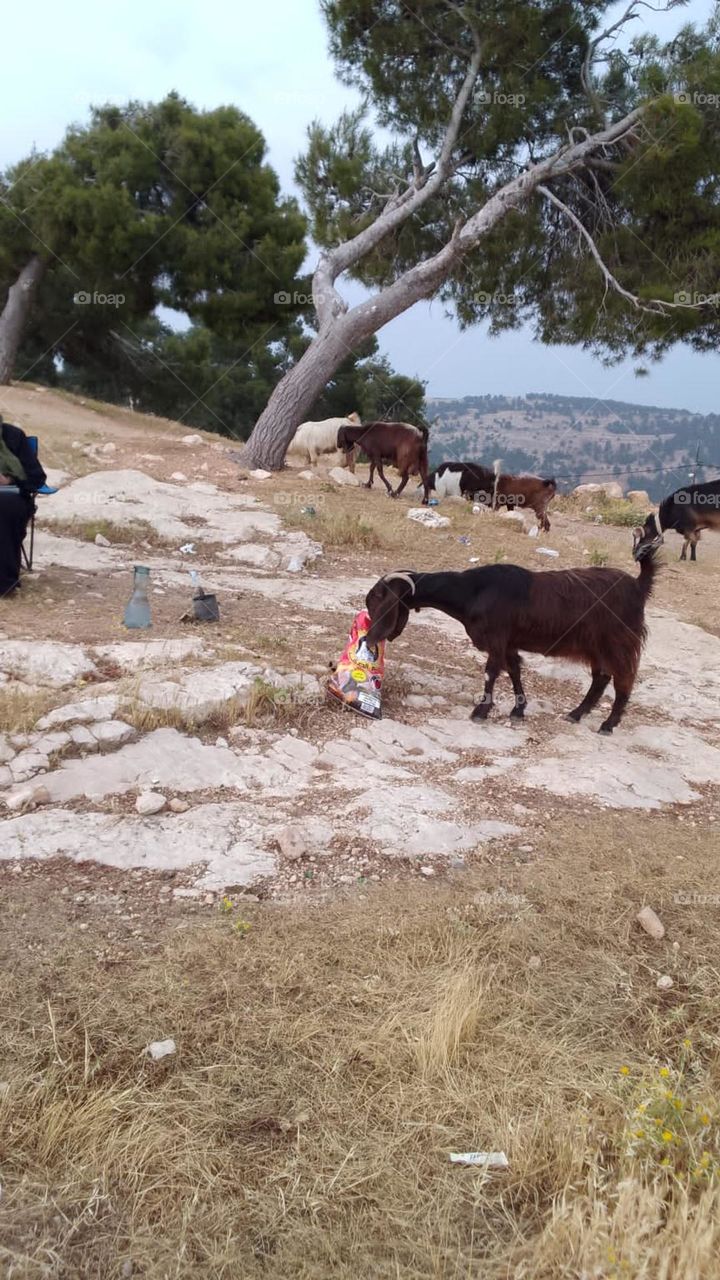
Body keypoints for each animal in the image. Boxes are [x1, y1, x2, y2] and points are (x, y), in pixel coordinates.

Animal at [365, 514, 662, 734]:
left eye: (376, 599)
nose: (368, 638)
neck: (473, 591)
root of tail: (638, 586)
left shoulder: (497, 639)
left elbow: (491, 672)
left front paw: (480, 712)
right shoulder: (509, 643)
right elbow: (514, 671)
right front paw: (518, 710)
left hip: (619, 642)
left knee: (623, 680)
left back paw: (608, 724)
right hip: (596, 646)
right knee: (601, 678)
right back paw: (576, 714)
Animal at [427, 459, 557, 530]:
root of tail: (549, 484)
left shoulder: (497, 503)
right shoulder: (509, 504)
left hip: (539, 508)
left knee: (546, 523)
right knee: (547, 523)